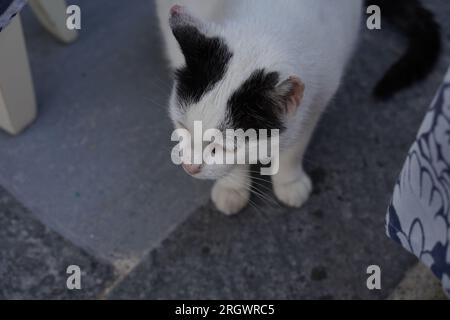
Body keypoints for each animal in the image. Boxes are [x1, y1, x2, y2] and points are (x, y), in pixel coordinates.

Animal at [156, 0, 442, 215]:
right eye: (182, 126)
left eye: (224, 147)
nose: (189, 167)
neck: (266, 20)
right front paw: (233, 187)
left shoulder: (320, 95)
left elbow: (295, 146)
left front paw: (289, 181)